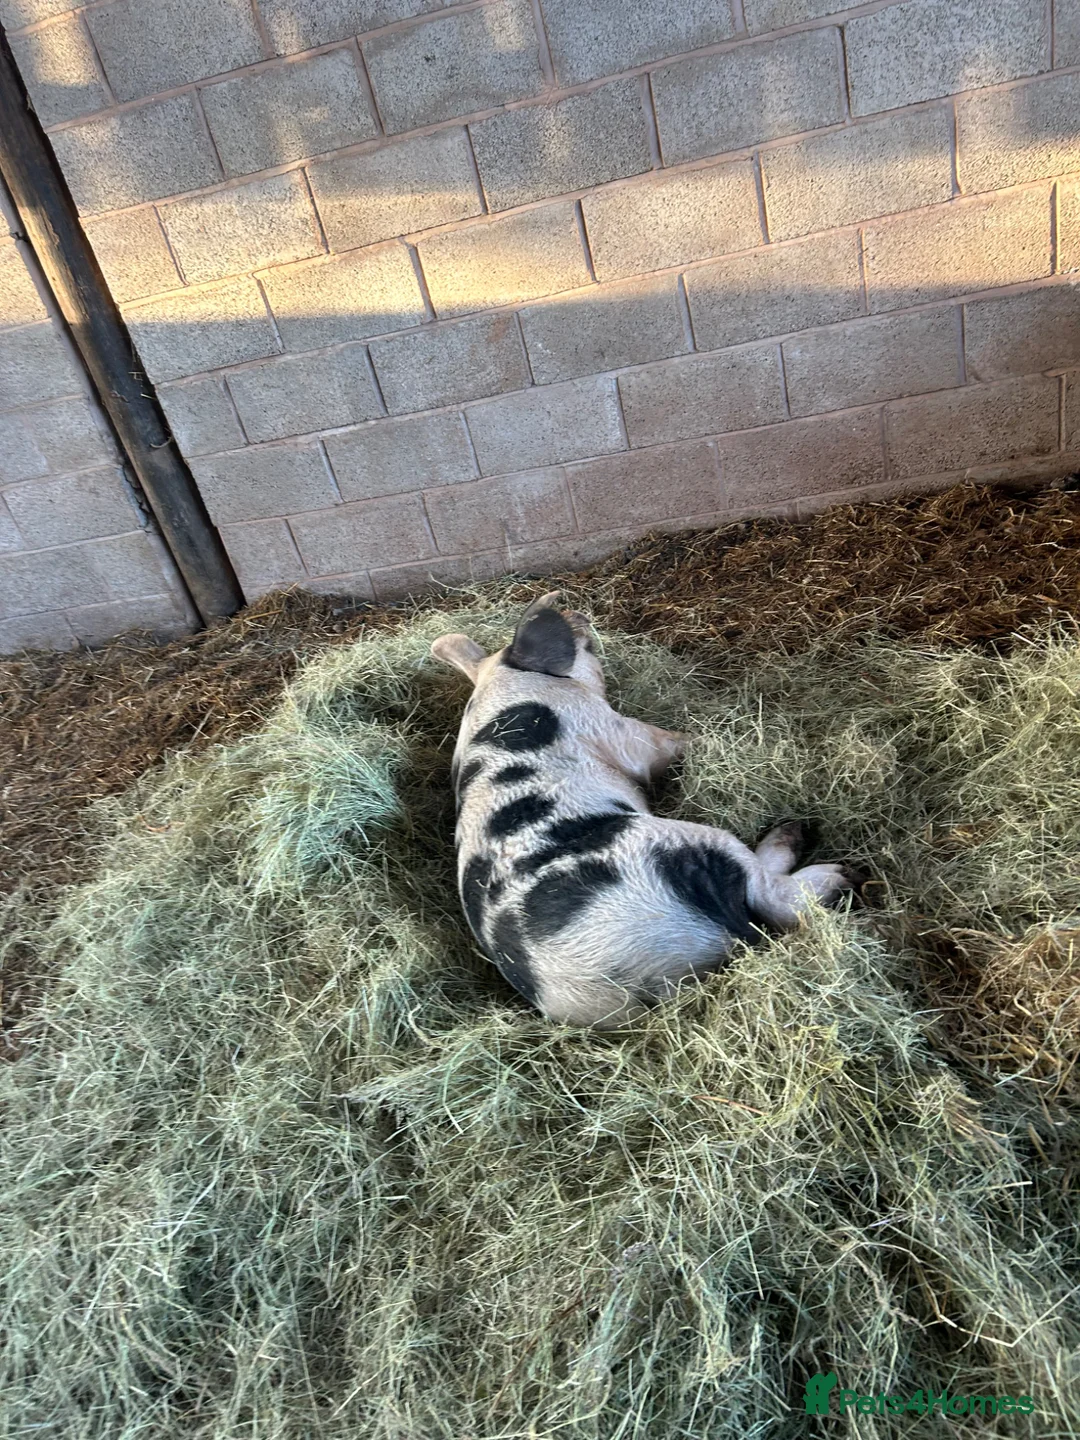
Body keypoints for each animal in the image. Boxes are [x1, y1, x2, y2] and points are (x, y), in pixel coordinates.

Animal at [431, 593, 855, 1028]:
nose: (576, 611)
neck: (502, 689)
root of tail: (641, 983)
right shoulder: (614, 728)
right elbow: (664, 745)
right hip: (685, 842)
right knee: (775, 897)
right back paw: (825, 862)